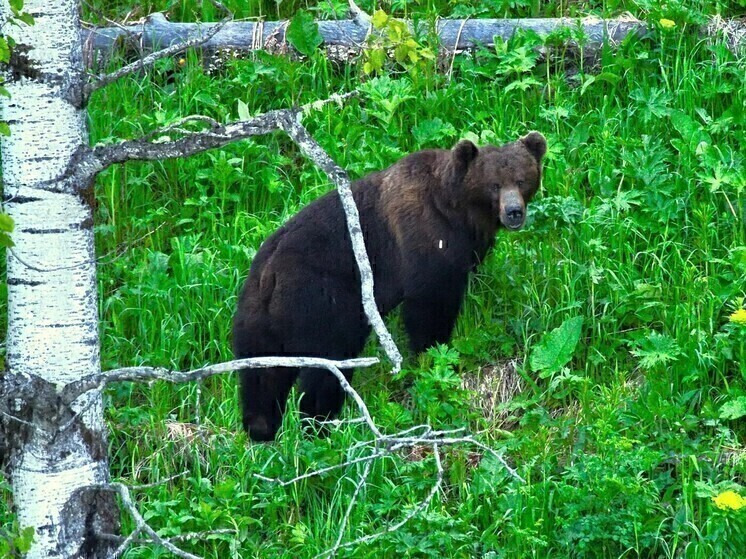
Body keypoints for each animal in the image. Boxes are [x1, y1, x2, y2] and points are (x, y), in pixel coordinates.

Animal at [233, 132, 547, 441]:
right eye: (494, 184)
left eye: (522, 179)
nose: (514, 212)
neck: (458, 211)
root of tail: (269, 275)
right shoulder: (424, 244)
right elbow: (430, 308)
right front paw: (433, 354)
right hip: (320, 303)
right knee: (329, 365)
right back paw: (321, 423)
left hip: (257, 318)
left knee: (262, 377)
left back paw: (262, 429)